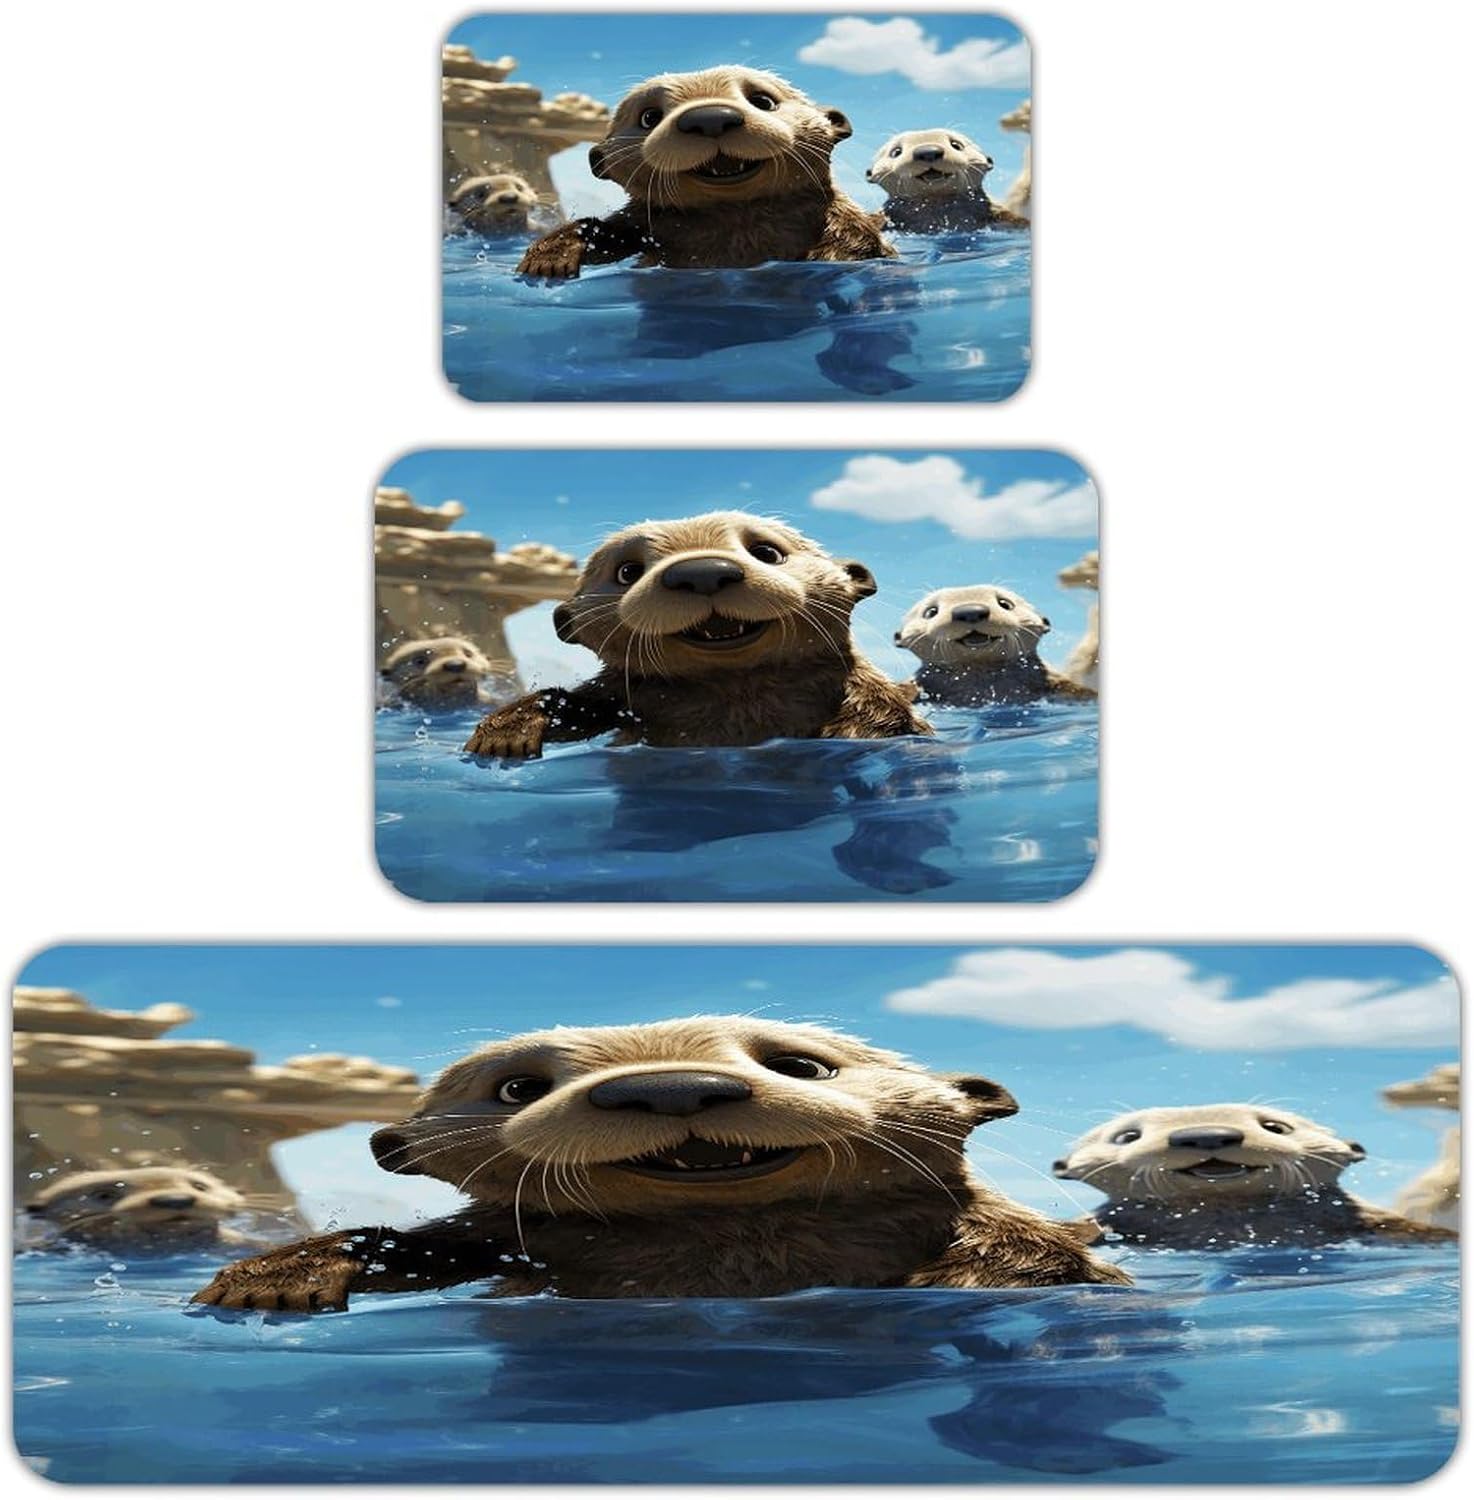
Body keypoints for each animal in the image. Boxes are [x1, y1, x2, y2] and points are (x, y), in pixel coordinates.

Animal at [192, 1016, 1129, 1309]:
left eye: (802, 1067)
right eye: (517, 1087)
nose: (673, 1087)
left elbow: (1041, 1256)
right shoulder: (502, 1240)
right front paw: (272, 1278)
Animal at [463, 512, 929, 758]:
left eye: (767, 552)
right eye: (627, 571)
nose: (703, 571)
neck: (737, 691)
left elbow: (889, 711)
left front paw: (853, 732)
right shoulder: (623, 694)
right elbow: (572, 707)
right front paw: (505, 733)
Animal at [516, 67, 893, 278]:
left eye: (763, 101)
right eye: (649, 117)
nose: (711, 117)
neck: (737, 220)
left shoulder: (837, 214)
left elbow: (859, 241)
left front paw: (830, 257)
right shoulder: (641, 224)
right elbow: (600, 232)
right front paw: (548, 259)